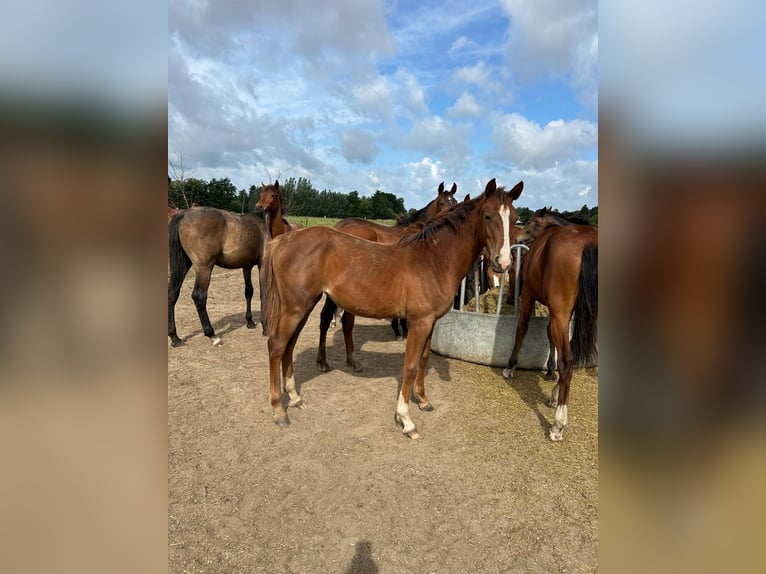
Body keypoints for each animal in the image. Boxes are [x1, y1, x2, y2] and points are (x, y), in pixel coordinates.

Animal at [168, 207, 271, 347]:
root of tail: (184, 214)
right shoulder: (263, 263)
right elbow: (263, 293)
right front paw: (265, 327)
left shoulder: (246, 266)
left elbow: (249, 292)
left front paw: (250, 322)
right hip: (204, 268)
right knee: (199, 297)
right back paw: (212, 334)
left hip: (183, 264)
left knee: (172, 294)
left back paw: (175, 338)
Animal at [502, 224, 598, 441]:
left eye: (511, 271)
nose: (510, 299)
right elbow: (549, 335)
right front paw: (551, 372)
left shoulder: (529, 296)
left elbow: (522, 328)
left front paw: (511, 366)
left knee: (568, 360)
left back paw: (558, 424)